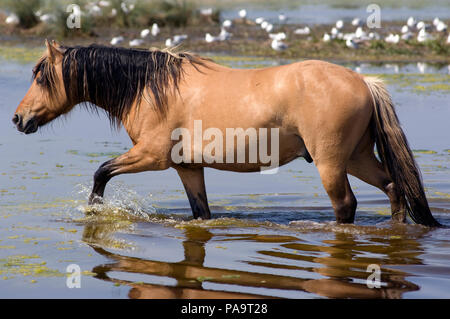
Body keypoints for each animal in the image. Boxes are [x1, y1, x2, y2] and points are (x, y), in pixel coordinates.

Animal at [12, 40, 442, 228]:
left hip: (331, 163)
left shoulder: (152, 156)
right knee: (393, 187)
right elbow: (201, 212)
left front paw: (94, 209)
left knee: (347, 205)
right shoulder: (187, 167)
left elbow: (101, 171)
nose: (18, 119)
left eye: (41, 76)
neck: (151, 88)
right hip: (357, 157)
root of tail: (363, 81)